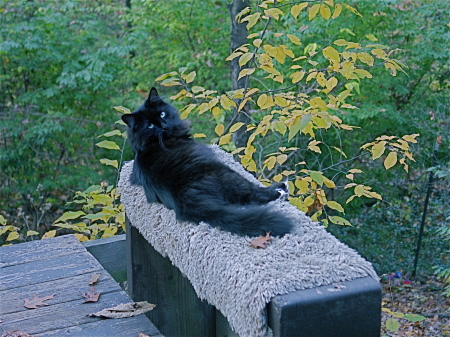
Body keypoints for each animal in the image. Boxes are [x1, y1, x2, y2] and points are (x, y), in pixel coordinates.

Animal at [121, 86, 296, 236]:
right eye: (150, 125)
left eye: (162, 114)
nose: (164, 125)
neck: (151, 144)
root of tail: (183, 197)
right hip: (227, 173)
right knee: (252, 194)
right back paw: (279, 189)